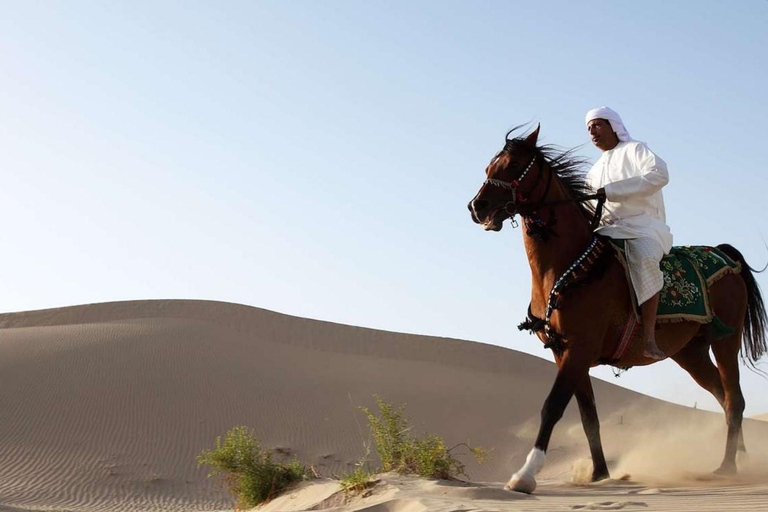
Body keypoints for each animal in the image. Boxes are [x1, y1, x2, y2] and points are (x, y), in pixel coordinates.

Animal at [464, 123, 764, 492]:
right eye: (489, 167)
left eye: (515, 165)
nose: (477, 207)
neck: (567, 268)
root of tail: (725, 256)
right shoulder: (564, 352)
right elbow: (587, 415)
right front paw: (599, 473)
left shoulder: (579, 349)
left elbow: (553, 407)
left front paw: (526, 474)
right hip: (690, 353)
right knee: (723, 396)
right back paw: (742, 459)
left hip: (725, 340)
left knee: (734, 398)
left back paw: (727, 466)